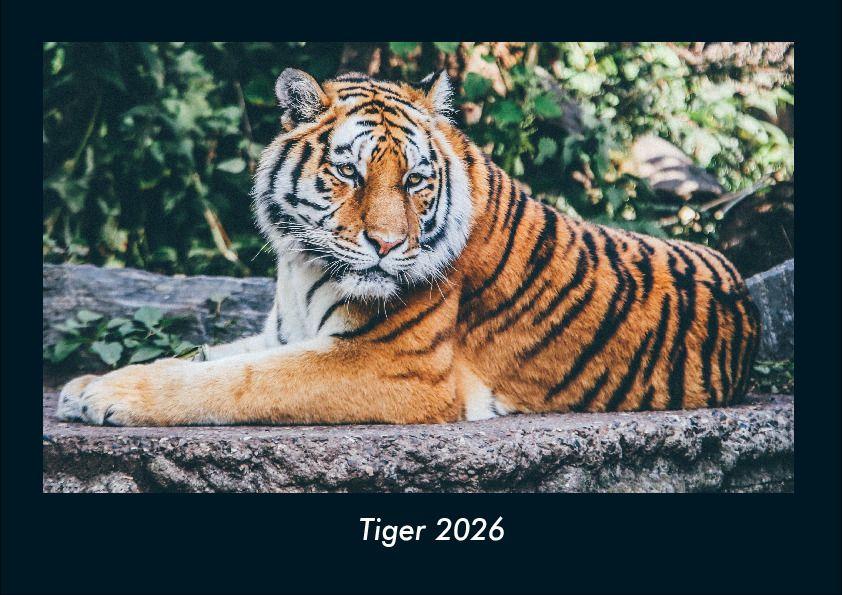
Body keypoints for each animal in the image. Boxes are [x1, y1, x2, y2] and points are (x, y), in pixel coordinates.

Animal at [56, 68, 761, 426]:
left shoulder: (392, 365)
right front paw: (87, 383)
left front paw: (106, 397)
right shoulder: (284, 332)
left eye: (416, 181)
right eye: (349, 173)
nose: (388, 245)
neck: (300, 266)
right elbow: (205, 356)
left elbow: (236, 381)